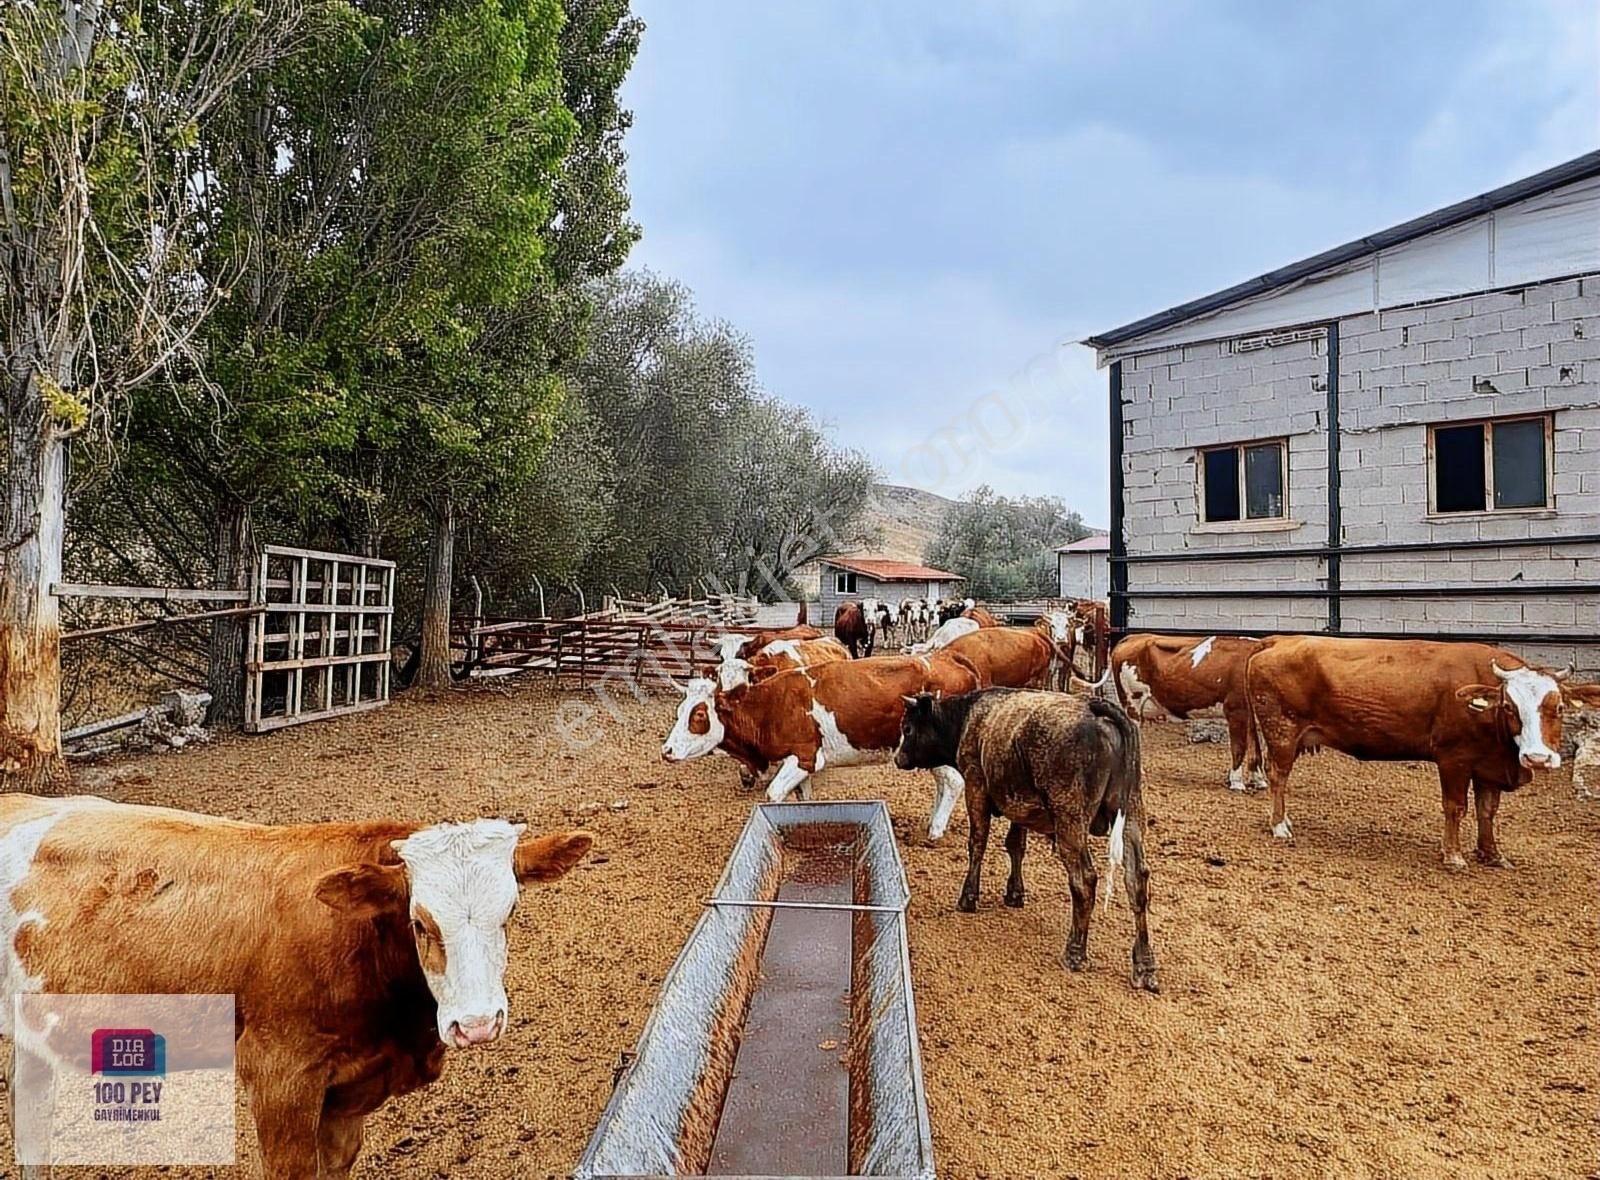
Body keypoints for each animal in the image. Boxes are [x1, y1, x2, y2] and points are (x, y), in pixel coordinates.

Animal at [656, 652, 979, 837]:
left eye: (698, 715)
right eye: (680, 710)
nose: (666, 751)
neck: (771, 706)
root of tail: (951, 661)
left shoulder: (805, 757)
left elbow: (774, 794)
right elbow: (805, 799)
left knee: (953, 782)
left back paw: (935, 831)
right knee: (945, 782)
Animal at [896, 684, 1158, 991]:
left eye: (908, 728)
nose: (897, 757)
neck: (967, 718)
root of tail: (1095, 708)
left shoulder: (976, 787)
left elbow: (978, 842)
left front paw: (968, 897)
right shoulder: (1019, 805)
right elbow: (1015, 847)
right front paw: (1014, 893)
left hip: (1070, 819)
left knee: (1084, 880)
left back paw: (1075, 953)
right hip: (1132, 815)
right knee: (1136, 881)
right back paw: (1144, 965)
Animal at [1113, 633, 1260, 789]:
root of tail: (1136, 636)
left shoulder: (1251, 716)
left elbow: (1255, 747)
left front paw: (1258, 781)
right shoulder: (1236, 709)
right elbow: (1240, 747)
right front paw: (1237, 783)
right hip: (1132, 704)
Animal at [1248, 633, 1600, 863]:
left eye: (1558, 708)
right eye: (1510, 707)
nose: (1537, 758)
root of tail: (1279, 640)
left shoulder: (1488, 765)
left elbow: (1487, 810)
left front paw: (1491, 854)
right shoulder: (1454, 759)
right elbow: (1456, 806)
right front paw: (1453, 855)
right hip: (1282, 734)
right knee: (1278, 776)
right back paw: (1279, 825)